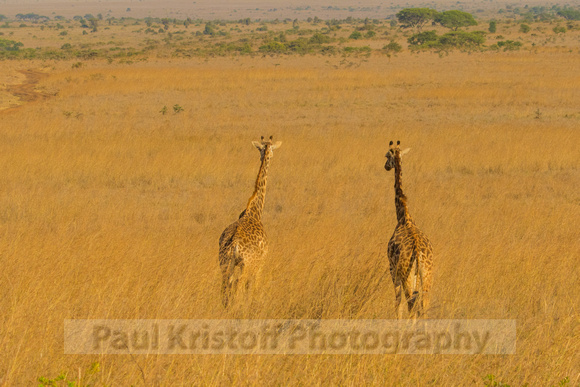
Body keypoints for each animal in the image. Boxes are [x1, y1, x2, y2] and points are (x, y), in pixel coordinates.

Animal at [218, 135, 280, 308]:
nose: (268, 155)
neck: (254, 211)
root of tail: (234, 244)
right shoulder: (261, 263)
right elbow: (254, 286)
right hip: (245, 265)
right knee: (239, 284)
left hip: (225, 264)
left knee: (226, 286)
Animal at [382, 141, 432, 320]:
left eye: (386, 155)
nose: (386, 167)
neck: (404, 217)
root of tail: (417, 252)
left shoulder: (392, 269)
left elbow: (398, 304)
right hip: (426, 274)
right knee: (424, 304)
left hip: (406, 274)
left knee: (411, 303)